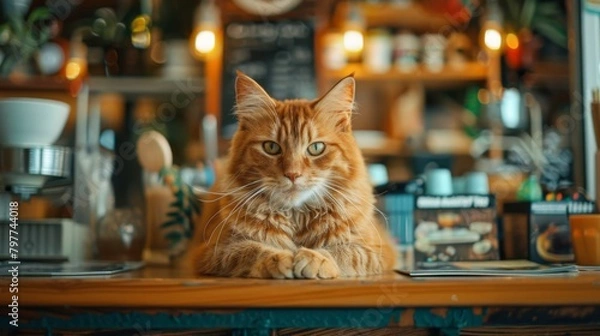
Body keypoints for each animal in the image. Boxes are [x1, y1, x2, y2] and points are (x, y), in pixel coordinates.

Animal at [191, 73, 398, 278]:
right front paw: (278, 258)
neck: (296, 216)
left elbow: (344, 253)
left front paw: (314, 258)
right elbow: (251, 250)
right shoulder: (213, 251)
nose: (292, 174)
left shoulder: (378, 250)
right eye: (271, 147)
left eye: (316, 148)